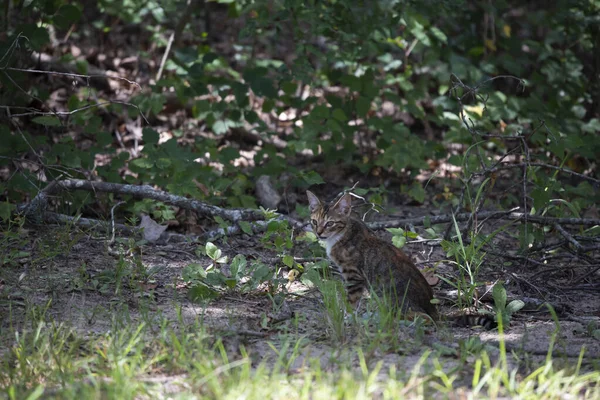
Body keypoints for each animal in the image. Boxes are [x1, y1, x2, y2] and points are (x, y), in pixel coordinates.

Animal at [308, 189, 438, 320]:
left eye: (330, 223)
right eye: (314, 222)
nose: (318, 233)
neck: (339, 235)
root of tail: (431, 306)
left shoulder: (353, 275)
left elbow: (352, 300)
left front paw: (348, 316)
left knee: (423, 317)